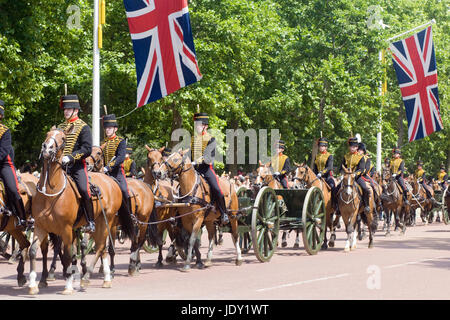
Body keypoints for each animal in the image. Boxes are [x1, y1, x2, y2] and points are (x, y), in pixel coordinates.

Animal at [26, 127, 134, 296]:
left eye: (63, 138)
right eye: (47, 135)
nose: (47, 148)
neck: (51, 191)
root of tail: (111, 181)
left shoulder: (66, 229)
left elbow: (69, 254)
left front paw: (68, 285)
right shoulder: (40, 226)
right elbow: (33, 251)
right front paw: (32, 285)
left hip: (107, 222)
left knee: (102, 247)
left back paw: (88, 276)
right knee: (102, 248)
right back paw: (105, 278)